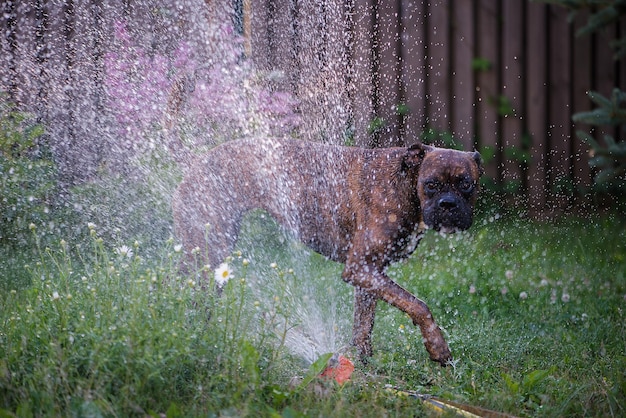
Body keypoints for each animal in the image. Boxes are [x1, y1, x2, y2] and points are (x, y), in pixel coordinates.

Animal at [173, 138, 480, 366]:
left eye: (467, 184)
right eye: (431, 184)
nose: (448, 204)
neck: (405, 183)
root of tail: (196, 163)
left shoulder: (370, 273)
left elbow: (363, 323)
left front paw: (361, 362)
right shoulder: (360, 268)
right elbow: (419, 306)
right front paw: (438, 348)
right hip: (209, 253)